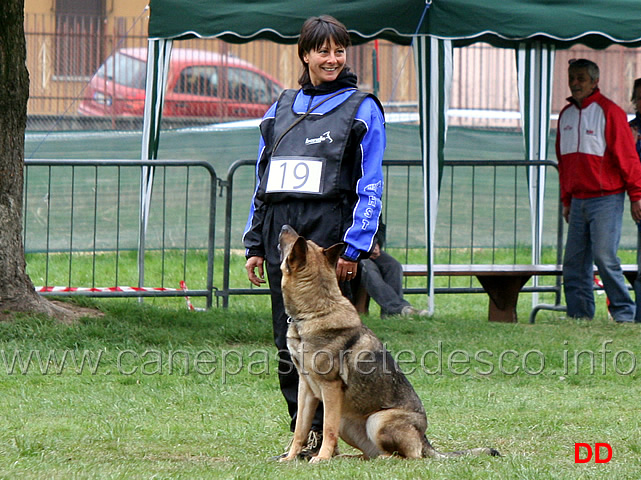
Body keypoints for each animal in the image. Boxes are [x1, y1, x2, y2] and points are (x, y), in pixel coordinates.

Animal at [276, 227, 500, 464]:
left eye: (294, 241)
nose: (284, 227)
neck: (314, 312)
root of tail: (424, 438)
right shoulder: (306, 389)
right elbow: (300, 429)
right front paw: (291, 458)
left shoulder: (330, 389)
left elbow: (328, 428)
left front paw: (322, 458)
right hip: (346, 422)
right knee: (370, 453)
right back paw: (349, 457)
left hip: (378, 420)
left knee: (409, 456)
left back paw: (381, 458)